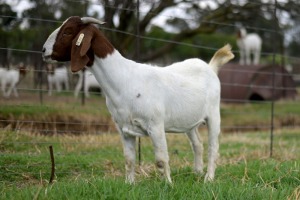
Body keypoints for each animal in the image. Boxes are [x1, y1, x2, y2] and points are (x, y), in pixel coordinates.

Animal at [42, 16, 234, 184]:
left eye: (67, 31)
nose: (44, 50)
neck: (124, 79)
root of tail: (210, 67)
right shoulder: (123, 128)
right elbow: (129, 159)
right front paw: (130, 184)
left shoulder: (155, 125)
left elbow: (161, 159)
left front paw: (168, 185)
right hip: (189, 121)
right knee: (198, 144)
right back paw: (197, 173)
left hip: (214, 114)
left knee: (213, 148)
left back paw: (208, 179)